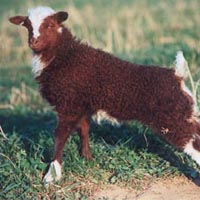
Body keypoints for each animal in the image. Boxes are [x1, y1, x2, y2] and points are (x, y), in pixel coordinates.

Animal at [9, 5, 200, 184]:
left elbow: (59, 137)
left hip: (172, 120)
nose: (33, 42)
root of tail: (177, 76)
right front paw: (87, 159)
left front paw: (52, 175)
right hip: (185, 115)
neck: (64, 55)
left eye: (49, 25)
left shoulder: (68, 105)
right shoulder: (81, 106)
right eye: (27, 25)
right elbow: (84, 130)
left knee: (192, 144)